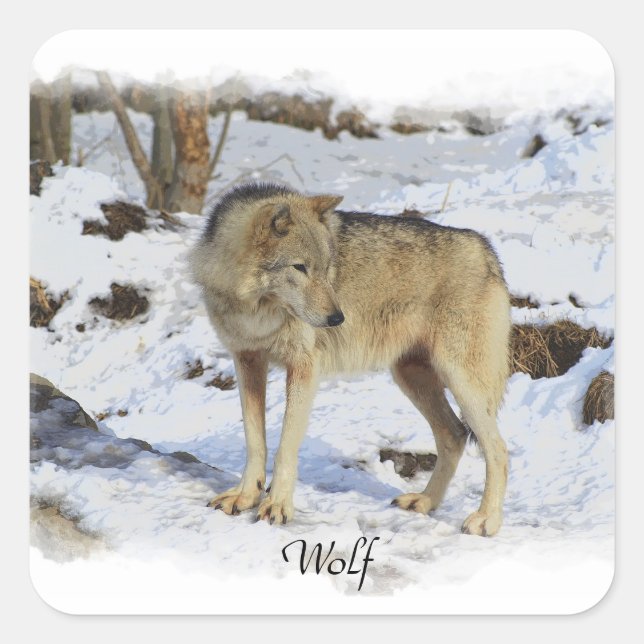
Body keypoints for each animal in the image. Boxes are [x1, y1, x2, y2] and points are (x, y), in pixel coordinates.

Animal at [190, 182, 511, 537]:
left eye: (326, 267)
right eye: (299, 268)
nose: (337, 318)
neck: (258, 309)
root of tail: (484, 247)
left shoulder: (304, 369)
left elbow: (286, 446)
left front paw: (277, 506)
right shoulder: (247, 361)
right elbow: (254, 440)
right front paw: (245, 497)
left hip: (461, 383)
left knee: (498, 449)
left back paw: (486, 520)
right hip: (411, 378)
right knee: (454, 435)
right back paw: (424, 502)